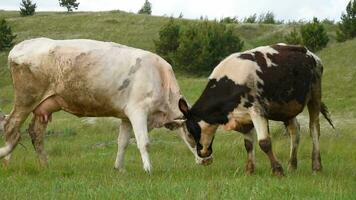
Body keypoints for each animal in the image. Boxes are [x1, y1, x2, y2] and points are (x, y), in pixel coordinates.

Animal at [179, 43, 336, 175]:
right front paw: (250, 170)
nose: (202, 153)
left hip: (315, 94)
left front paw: (277, 170)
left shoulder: (257, 111)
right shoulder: (243, 117)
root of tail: (309, 53)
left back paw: (316, 166)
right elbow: (248, 144)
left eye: (190, 132)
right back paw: (292, 166)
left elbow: (264, 143)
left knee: (314, 129)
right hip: (287, 107)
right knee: (295, 131)